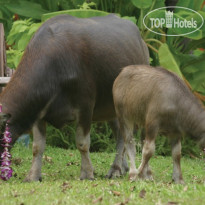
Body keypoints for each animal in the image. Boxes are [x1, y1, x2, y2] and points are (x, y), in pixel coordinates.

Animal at [0, 14, 148, 181]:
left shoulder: (85, 107)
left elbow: (82, 143)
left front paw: (87, 173)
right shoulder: (38, 110)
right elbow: (37, 146)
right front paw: (33, 175)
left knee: (127, 135)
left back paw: (116, 169)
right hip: (111, 108)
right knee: (119, 134)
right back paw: (122, 167)